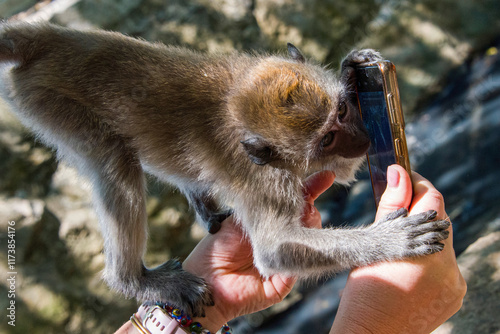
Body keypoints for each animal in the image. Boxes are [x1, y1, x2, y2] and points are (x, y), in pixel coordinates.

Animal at [0, 22, 450, 316]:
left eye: (342, 111)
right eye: (327, 139)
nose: (361, 138)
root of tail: (48, 37)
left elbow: (342, 172)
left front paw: (352, 68)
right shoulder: (265, 177)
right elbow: (276, 249)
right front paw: (393, 240)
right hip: (48, 101)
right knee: (116, 159)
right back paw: (132, 280)